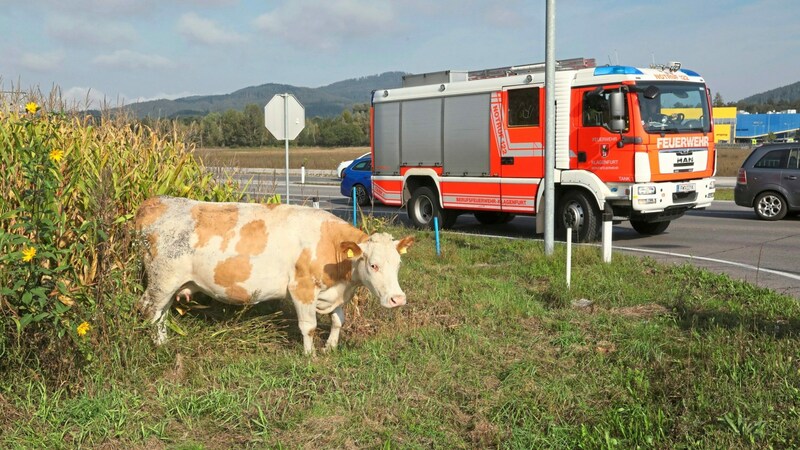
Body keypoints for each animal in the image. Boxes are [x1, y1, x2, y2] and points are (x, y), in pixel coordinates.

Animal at [132, 195, 416, 354]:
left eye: (398, 263)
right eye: (373, 265)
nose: (398, 299)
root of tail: (155, 202)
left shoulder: (333, 292)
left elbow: (338, 321)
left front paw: (331, 347)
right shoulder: (302, 288)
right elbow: (309, 326)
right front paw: (310, 356)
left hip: (171, 284)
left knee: (161, 313)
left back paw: (164, 342)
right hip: (162, 279)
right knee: (150, 309)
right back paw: (158, 346)